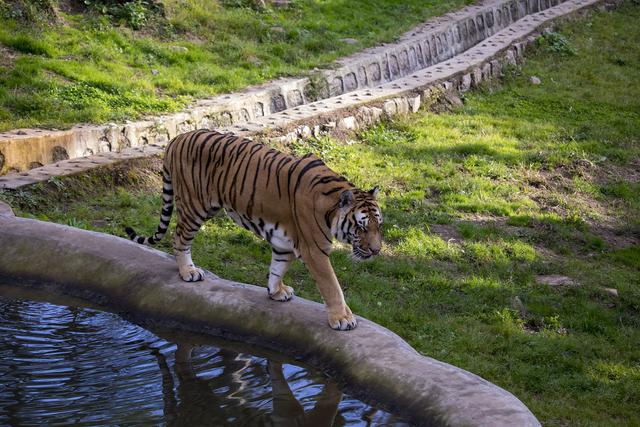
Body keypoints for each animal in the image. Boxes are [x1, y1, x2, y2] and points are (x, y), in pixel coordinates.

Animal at [127, 130, 382, 332]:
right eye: (361, 226)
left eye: (378, 225)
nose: (377, 251)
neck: (330, 208)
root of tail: (177, 138)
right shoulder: (314, 250)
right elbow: (332, 286)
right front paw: (343, 319)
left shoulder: (284, 242)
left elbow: (277, 268)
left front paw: (276, 292)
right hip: (195, 207)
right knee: (178, 238)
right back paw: (188, 271)